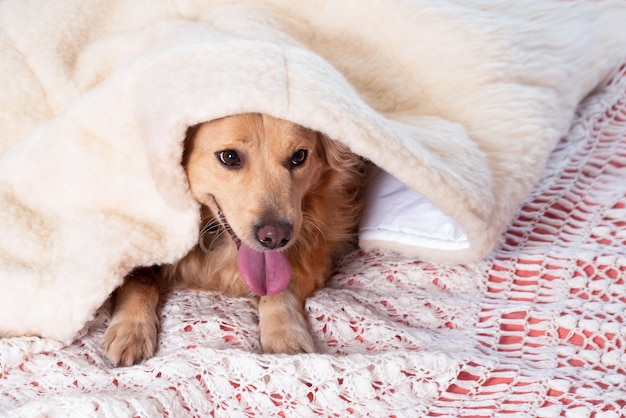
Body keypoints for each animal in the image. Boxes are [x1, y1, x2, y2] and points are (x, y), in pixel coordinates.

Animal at [101, 112, 366, 366]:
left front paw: (285, 331)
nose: (276, 237)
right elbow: (140, 280)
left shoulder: (316, 254)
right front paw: (131, 331)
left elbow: (281, 286)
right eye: (229, 157)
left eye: (299, 156)